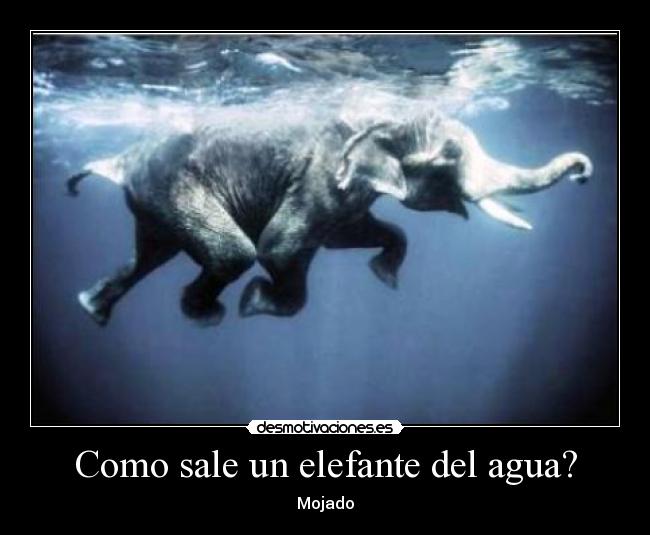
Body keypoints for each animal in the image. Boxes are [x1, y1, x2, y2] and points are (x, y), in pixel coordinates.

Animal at [66, 112, 592, 326]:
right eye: (450, 154)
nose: (585, 174)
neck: (388, 116)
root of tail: (122, 160)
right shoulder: (319, 177)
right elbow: (277, 246)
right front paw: (255, 304)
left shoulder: (348, 193)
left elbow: (352, 235)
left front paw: (384, 278)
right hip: (175, 188)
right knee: (233, 253)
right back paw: (207, 315)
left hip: (154, 202)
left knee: (149, 255)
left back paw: (91, 308)